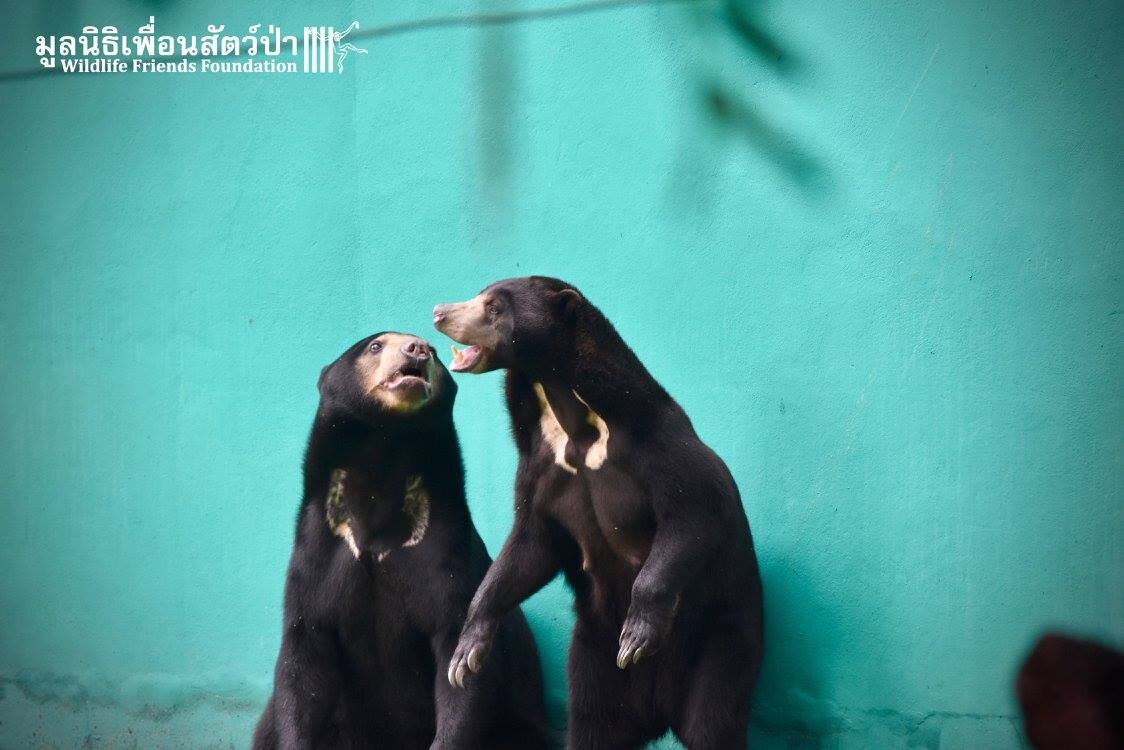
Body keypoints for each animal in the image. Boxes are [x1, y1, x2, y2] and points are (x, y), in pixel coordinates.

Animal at [253, 331, 553, 750]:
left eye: (435, 350)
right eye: (376, 345)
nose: (418, 349)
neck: (382, 458)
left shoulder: (444, 550)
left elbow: (458, 657)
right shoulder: (316, 553)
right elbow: (303, 656)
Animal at [432, 277, 765, 749]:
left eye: (494, 307)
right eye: (480, 295)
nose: (440, 312)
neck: (577, 422)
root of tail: (659, 712)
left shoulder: (657, 443)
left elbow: (691, 516)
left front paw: (639, 633)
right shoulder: (538, 468)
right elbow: (530, 547)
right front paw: (467, 653)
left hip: (721, 636)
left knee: (713, 718)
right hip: (594, 659)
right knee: (593, 723)